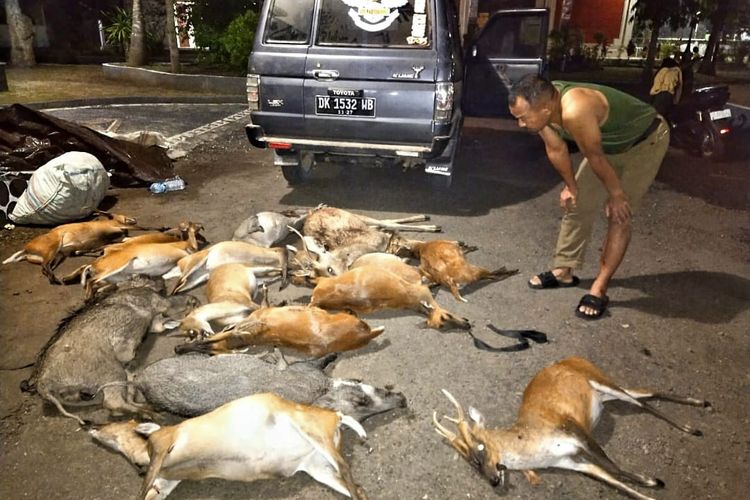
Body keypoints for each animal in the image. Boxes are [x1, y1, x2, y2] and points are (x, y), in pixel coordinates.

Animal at [2, 210, 145, 284]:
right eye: (126, 215)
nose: (135, 218)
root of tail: (26, 249)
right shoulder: (119, 226)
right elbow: (138, 229)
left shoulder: (119, 236)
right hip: (54, 246)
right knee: (45, 266)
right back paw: (55, 278)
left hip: (58, 256)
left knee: (45, 268)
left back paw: (54, 278)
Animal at [104, 394, 368, 500]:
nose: (97, 427)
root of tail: (336, 417)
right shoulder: (166, 480)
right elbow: (152, 491)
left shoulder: (162, 444)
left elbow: (143, 489)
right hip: (317, 468)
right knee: (359, 488)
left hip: (311, 431)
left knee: (345, 468)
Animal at [434, 358, 712, 498]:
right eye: (471, 463)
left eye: (480, 448)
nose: (493, 480)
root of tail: (570, 358)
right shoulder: (572, 462)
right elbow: (616, 483)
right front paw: (650, 488)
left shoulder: (573, 428)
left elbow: (615, 468)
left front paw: (653, 480)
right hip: (604, 395)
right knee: (647, 392)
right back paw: (701, 403)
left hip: (602, 382)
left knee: (642, 403)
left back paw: (692, 428)